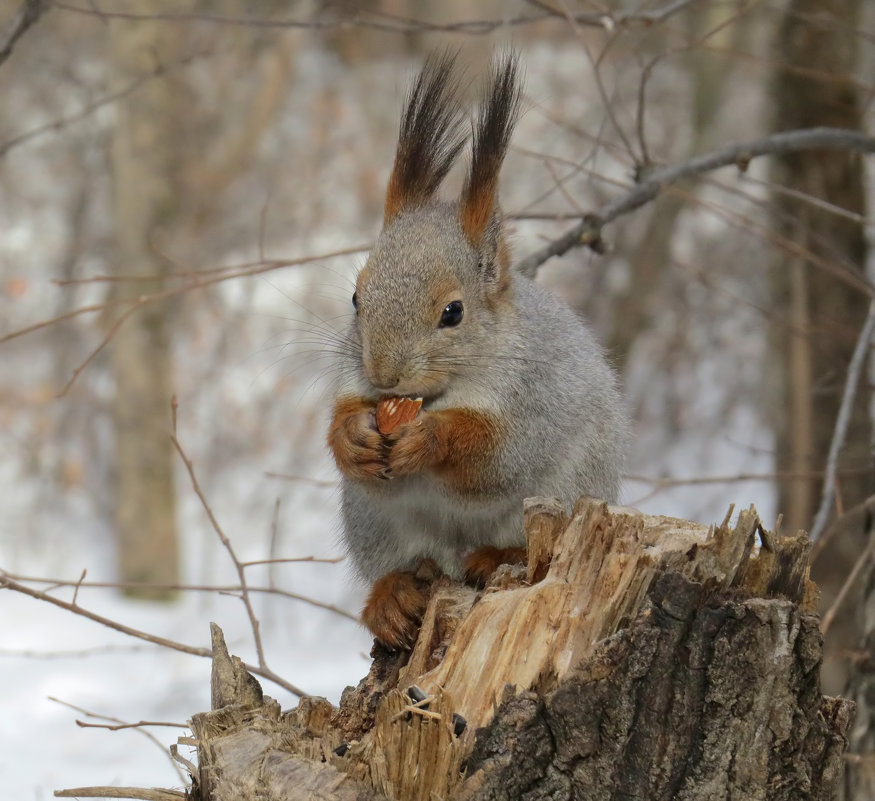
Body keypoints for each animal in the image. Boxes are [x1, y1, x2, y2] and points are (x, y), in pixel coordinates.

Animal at [326, 51, 628, 648]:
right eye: (355, 297)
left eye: (453, 312)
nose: (383, 375)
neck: (440, 393)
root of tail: (453, 555)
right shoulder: (355, 382)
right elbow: (342, 416)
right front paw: (351, 435)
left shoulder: (536, 399)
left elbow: (494, 456)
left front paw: (430, 440)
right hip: (371, 518)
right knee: (399, 563)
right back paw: (393, 595)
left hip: (568, 492)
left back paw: (496, 557)